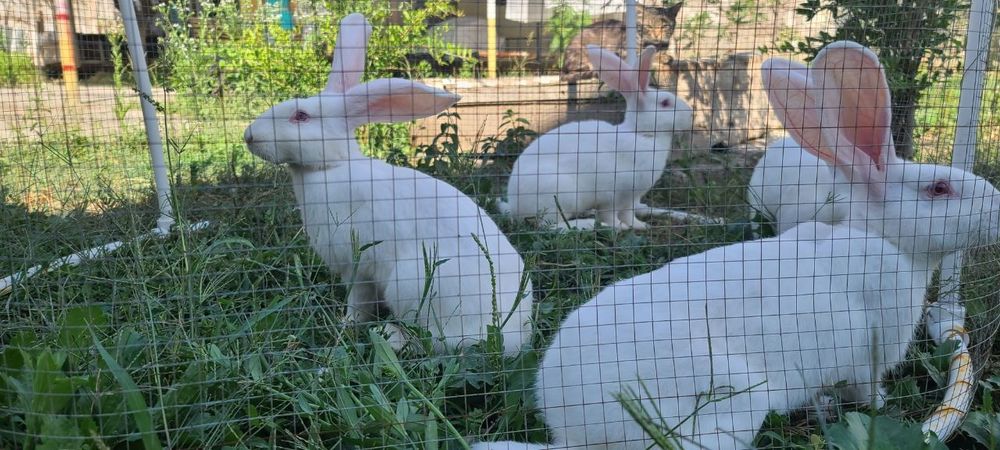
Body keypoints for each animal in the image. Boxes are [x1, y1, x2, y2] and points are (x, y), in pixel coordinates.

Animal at [243, 13, 533, 355]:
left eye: (301, 116)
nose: (249, 135)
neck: (331, 167)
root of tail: (511, 335)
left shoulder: (357, 266)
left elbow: (358, 302)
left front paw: (346, 324)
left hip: (410, 284)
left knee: (436, 342)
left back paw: (390, 336)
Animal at [499, 45, 693, 230]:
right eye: (665, 103)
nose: (691, 114)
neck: (641, 134)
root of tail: (515, 206)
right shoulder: (612, 196)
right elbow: (610, 215)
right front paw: (619, 227)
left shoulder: (630, 198)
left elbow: (629, 214)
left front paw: (640, 226)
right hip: (558, 196)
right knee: (549, 226)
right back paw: (588, 224)